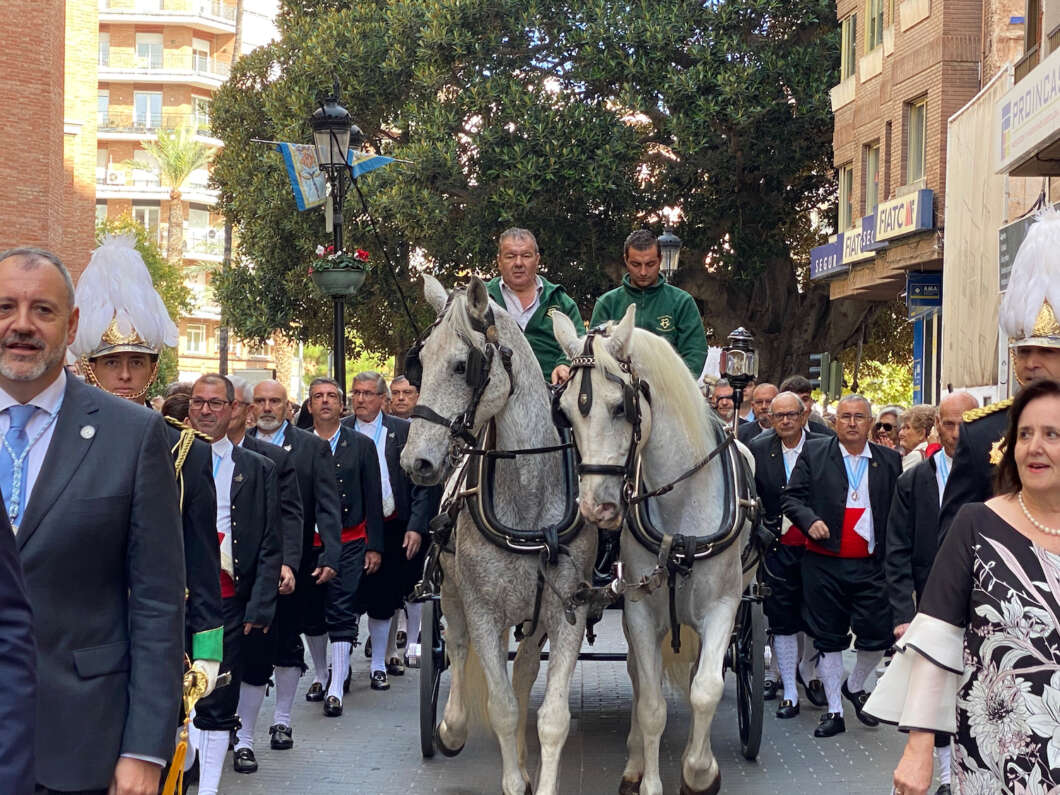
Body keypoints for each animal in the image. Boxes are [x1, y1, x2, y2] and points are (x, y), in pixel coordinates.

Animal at [398, 275, 597, 795]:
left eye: (462, 365)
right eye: (419, 362)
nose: (415, 461)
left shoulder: (566, 609)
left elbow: (551, 715)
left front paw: (535, 774)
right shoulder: (483, 608)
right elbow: (502, 705)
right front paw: (510, 774)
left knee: (524, 668)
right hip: (451, 591)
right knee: (458, 645)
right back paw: (451, 727)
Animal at [551, 307, 750, 795]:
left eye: (620, 407)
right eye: (565, 413)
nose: (596, 506)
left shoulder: (724, 605)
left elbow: (706, 690)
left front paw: (700, 773)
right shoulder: (640, 610)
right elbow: (651, 704)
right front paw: (648, 778)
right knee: (641, 681)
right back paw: (635, 760)